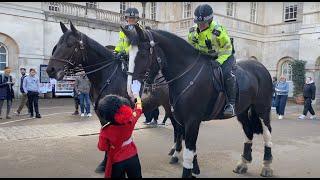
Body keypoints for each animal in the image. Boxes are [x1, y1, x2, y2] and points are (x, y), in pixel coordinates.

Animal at [46, 21, 184, 172]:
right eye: (57, 45)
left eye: (70, 45)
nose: (50, 70)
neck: (106, 75)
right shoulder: (101, 114)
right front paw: (104, 163)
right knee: (177, 128)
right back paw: (173, 150)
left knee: (179, 128)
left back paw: (176, 154)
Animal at [121, 24, 274, 178]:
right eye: (128, 55)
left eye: (142, 54)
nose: (130, 91)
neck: (187, 74)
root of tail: (260, 66)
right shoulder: (181, 119)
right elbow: (188, 145)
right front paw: (193, 168)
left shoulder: (192, 120)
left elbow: (188, 152)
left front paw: (187, 168)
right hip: (242, 111)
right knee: (248, 132)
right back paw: (243, 163)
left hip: (262, 109)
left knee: (267, 134)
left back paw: (267, 165)